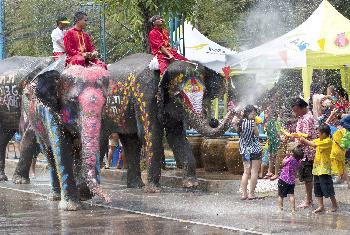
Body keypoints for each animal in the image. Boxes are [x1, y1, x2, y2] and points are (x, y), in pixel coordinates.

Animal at [20, 59, 110, 211]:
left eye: (104, 102)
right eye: (73, 101)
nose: (109, 199)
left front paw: (82, 193)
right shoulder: (51, 111)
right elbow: (62, 148)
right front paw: (71, 208)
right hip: (35, 121)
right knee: (49, 153)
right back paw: (55, 197)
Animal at [101, 52, 232, 191]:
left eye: (205, 93)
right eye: (179, 96)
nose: (214, 121)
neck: (166, 67)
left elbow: (176, 136)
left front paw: (191, 185)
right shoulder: (144, 96)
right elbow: (151, 134)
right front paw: (154, 190)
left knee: (131, 140)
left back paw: (136, 186)